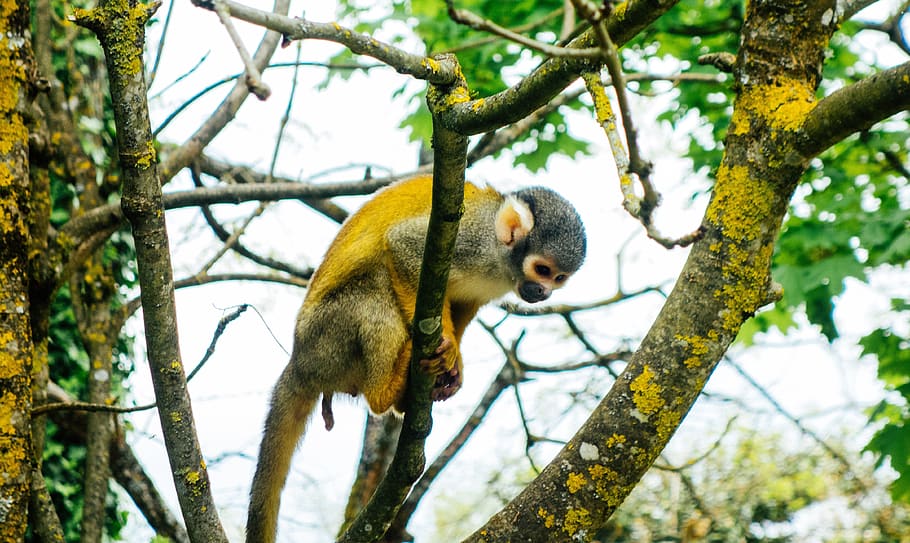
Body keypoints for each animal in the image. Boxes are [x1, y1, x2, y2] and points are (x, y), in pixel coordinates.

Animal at [246, 174, 586, 543]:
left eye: (559, 278)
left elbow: (464, 303)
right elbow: (402, 246)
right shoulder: (470, 240)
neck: (500, 260)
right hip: (326, 338)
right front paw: (447, 346)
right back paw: (386, 390)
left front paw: (454, 366)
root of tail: (299, 362)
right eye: (542, 269)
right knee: (375, 285)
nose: (543, 293)